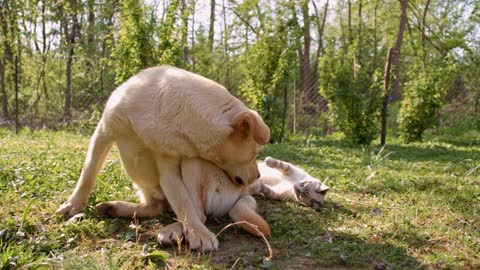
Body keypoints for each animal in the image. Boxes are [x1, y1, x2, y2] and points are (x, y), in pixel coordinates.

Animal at [56, 65, 270, 251]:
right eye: (255, 153)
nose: (259, 176)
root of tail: (244, 193)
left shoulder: (169, 165)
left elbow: (183, 203)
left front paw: (198, 233)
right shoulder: (104, 132)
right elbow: (88, 173)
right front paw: (73, 204)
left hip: (194, 163)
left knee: (197, 213)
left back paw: (173, 230)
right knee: (156, 207)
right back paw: (114, 208)